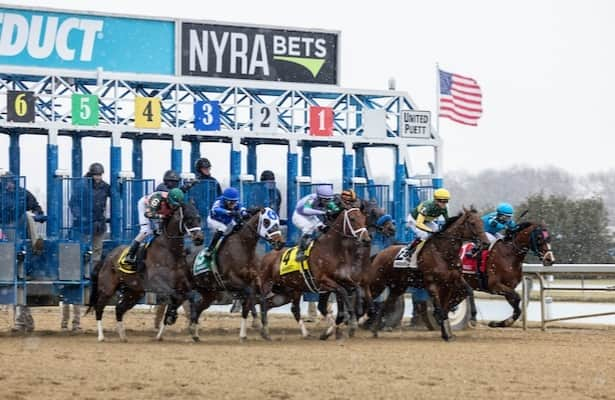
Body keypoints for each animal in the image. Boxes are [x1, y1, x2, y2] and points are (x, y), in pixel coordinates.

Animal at [85, 202, 205, 342]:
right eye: (189, 219)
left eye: (199, 218)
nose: (199, 239)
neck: (169, 249)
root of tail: (106, 258)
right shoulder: (157, 282)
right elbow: (176, 297)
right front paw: (171, 317)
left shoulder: (181, 282)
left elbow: (190, 296)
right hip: (107, 288)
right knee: (99, 307)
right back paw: (101, 336)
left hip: (134, 292)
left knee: (119, 309)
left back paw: (123, 336)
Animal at [186, 208, 286, 342]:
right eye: (266, 221)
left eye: (278, 221)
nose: (280, 242)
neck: (244, 248)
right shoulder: (230, 281)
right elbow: (249, 294)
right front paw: (256, 324)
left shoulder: (256, 280)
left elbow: (260, 299)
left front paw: (264, 331)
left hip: (209, 293)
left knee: (198, 307)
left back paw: (194, 333)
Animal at [258, 206, 370, 340]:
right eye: (352, 219)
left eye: (364, 218)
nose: (366, 239)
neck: (331, 249)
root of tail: (266, 257)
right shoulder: (323, 281)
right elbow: (342, 291)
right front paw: (350, 319)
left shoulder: (341, 278)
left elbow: (356, 287)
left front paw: (357, 312)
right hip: (267, 284)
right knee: (263, 303)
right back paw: (265, 332)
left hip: (287, 291)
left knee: (286, 307)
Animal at [364, 208, 488, 342]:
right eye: (472, 223)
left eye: (481, 222)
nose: (486, 243)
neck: (443, 253)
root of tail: (380, 253)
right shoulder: (431, 284)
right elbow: (440, 308)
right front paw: (445, 330)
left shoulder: (453, 280)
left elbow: (468, 292)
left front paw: (471, 319)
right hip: (378, 282)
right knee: (367, 295)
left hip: (398, 287)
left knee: (385, 305)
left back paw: (374, 330)